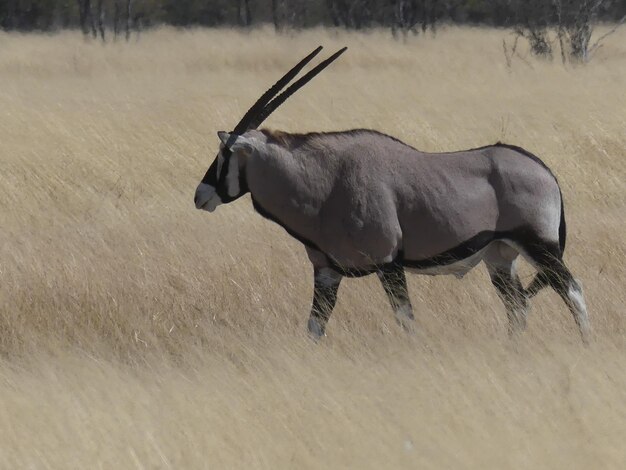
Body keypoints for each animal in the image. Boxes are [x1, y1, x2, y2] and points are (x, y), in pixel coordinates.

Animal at [193, 47, 588, 342]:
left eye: (225, 154)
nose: (201, 195)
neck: (325, 183)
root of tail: (544, 170)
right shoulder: (327, 272)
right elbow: (314, 327)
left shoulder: (389, 263)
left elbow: (405, 319)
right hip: (500, 258)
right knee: (517, 307)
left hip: (540, 247)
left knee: (572, 292)